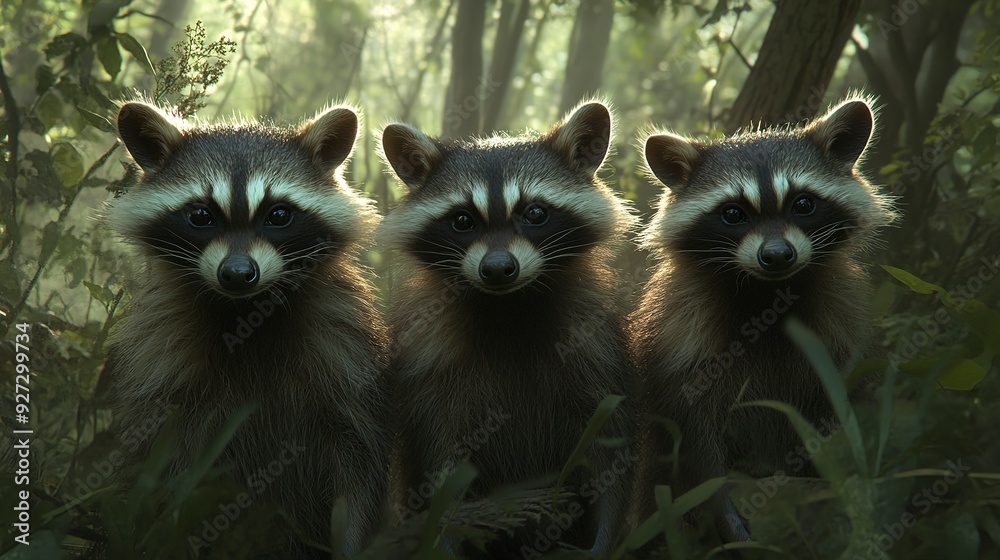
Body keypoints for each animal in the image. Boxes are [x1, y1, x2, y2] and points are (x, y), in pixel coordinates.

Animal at [102, 101, 389, 556]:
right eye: (201, 215)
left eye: (279, 215)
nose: (238, 274)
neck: (246, 314)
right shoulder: (164, 361)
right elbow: (159, 460)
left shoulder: (345, 351)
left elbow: (359, 463)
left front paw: (350, 540)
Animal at [378, 101, 637, 554]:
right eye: (462, 220)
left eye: (534, 213)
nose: (498, 269)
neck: (508, 307)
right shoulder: (429, 363)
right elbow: (438, 465)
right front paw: (443, 536)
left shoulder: (595, 345)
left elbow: (610, 447)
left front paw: (605, 539)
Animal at [630, 97, 896, 541]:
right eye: (733, 213)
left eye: (802, 204)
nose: (776, 255)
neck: (766, 294)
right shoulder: (683, 341)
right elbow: (695, 440)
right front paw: (724, 512)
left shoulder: (836, 331)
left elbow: (838, 411)